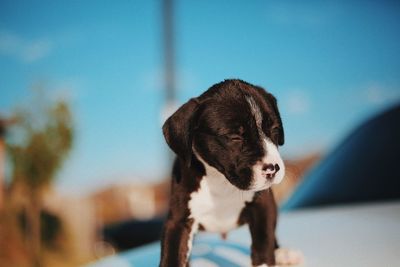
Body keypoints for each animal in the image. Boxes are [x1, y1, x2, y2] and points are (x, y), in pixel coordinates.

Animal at [159, 78, 300, 266]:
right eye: (235, 137)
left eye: (275, 130)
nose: (273, 168)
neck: (220, 181)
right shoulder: (178, 221)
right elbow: (173, 255)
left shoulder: (262, 207)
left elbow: (264, 244)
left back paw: (282, 253)